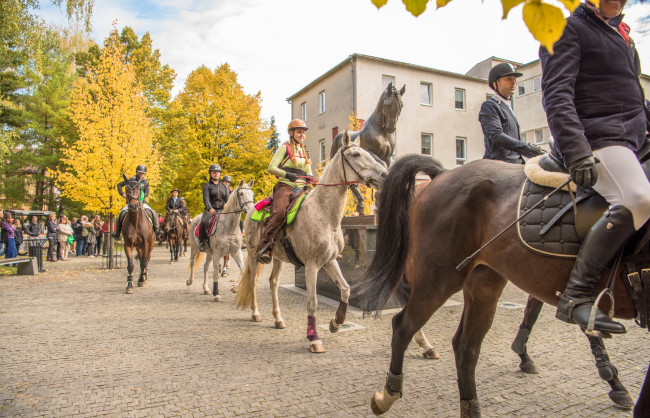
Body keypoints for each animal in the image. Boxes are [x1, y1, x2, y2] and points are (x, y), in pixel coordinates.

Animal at [233, 131, 384, 352]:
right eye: (356, 154)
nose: (384, 174)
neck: (323, 214)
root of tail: (251, 208)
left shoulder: (330, 261)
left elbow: (346, 289)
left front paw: (335, 323)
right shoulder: (312, 266)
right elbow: (312, 302)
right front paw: (314, 338)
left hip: (277, 258)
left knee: (273, 283)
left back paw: (278, 319)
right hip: (252, 253)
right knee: (253, 281)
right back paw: (256, 313)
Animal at [332, 81, 402, 214]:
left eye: (401, 105)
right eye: (387, 102)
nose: (391, 128)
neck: (382, 132)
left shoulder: (387, 158)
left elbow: (385, 167)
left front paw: (379, 198)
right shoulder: (371, 152)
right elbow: (381, 165)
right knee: (352, 183)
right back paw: (360, 204)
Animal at [354, 155, 644, 416]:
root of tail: (442, 174)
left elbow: (541, 311)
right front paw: (613, 380)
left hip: (483, 285)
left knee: (465, 346)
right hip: (437, 279)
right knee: (403, 325)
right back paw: (389, 393)